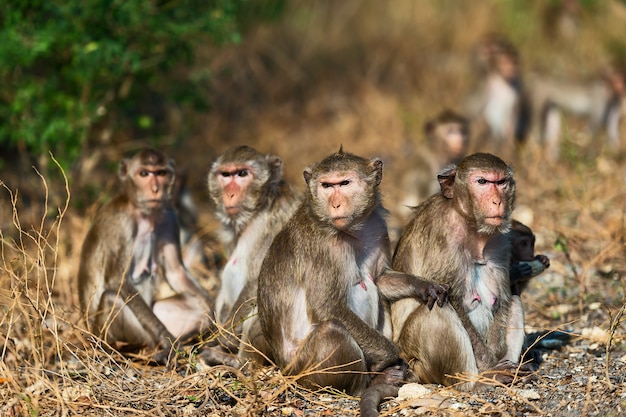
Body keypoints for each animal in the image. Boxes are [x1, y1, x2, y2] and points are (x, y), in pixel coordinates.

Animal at [77, 149, 214, 364]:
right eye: (144, 174)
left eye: (161, 173)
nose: (156, 189)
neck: (144, 214)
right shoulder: (120, 223)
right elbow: (117, 280)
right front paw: (165, 338)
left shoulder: (169, 216)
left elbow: (176, 272)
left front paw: (215, 316)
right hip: (134, 333)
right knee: (112, 298)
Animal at [256, 147, 446, 416]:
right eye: (327, 185)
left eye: (344, 183)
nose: (335, 204)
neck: (351, 230)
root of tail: (282, 368)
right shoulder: (322, 247)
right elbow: (326, 306)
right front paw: (390, 356)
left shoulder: (377, 226)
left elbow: (380, 279)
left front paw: (423, 285)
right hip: (305, 371)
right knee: (332, 330)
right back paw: (371, 382)